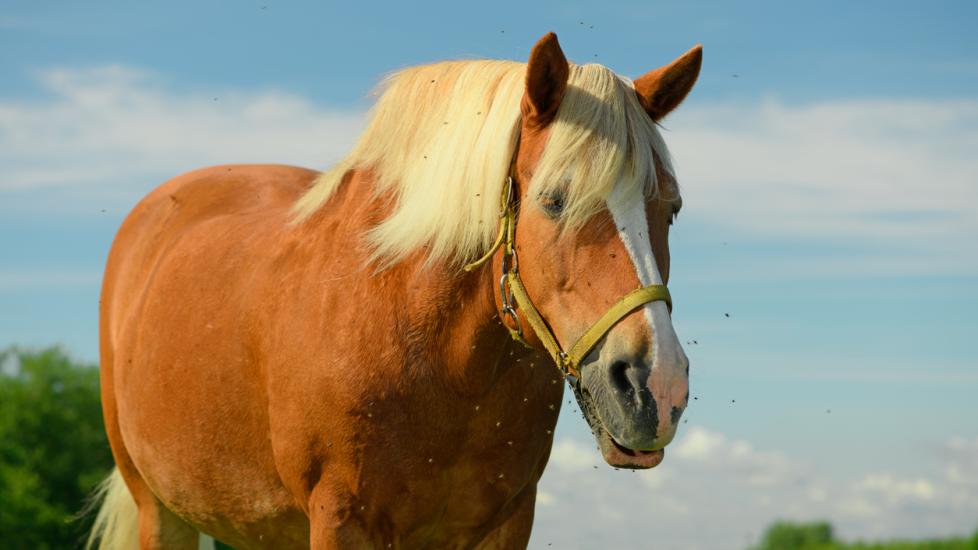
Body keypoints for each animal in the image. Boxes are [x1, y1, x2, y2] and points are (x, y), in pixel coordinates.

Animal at [87, 32, 701, 549]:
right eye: (553, 201)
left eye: (671, 209)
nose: (656, 387)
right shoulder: (342, 520)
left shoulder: (506, 523)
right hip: (158, 508)